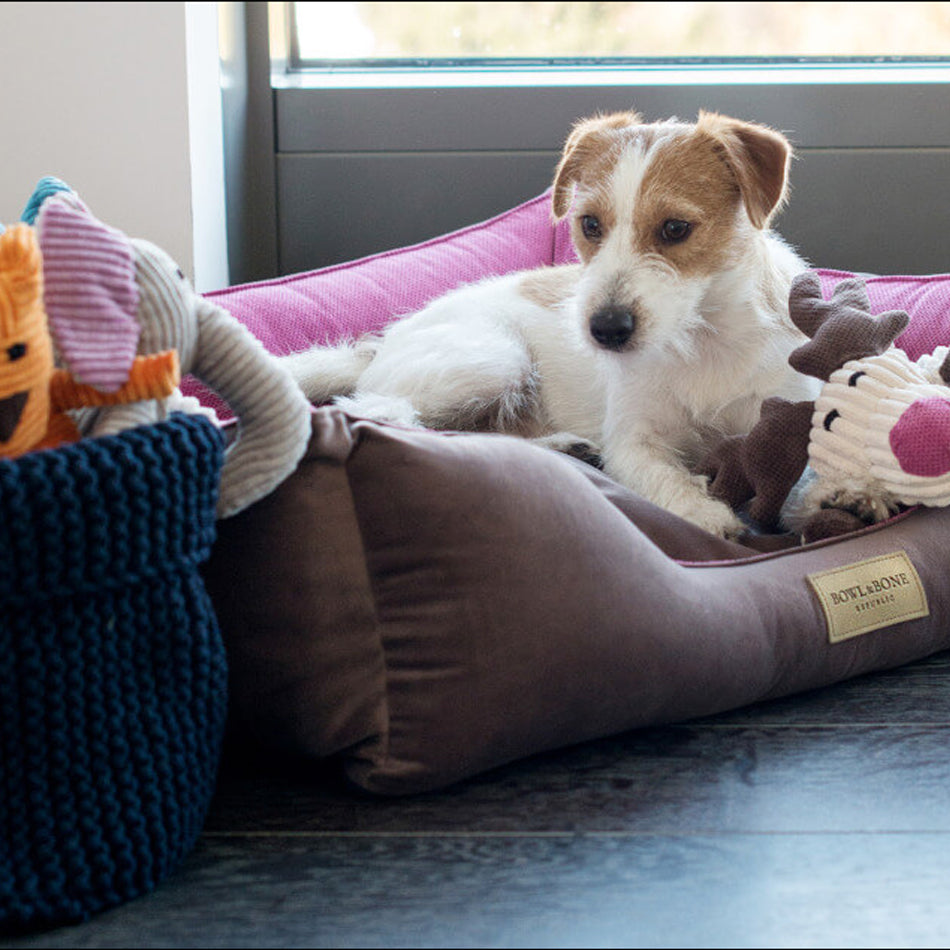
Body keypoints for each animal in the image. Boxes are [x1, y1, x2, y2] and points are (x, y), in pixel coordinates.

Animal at [280, 110, 820, 540]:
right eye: (589, 225)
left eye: (675, 228)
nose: (605, 329)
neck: (704, 339)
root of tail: (381, 344)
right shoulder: (634, 440)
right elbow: (664, 477)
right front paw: (703, 512)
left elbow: (806, 465)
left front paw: (827, 498)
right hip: (495, 360)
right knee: (384, 411)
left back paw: (563, 447)